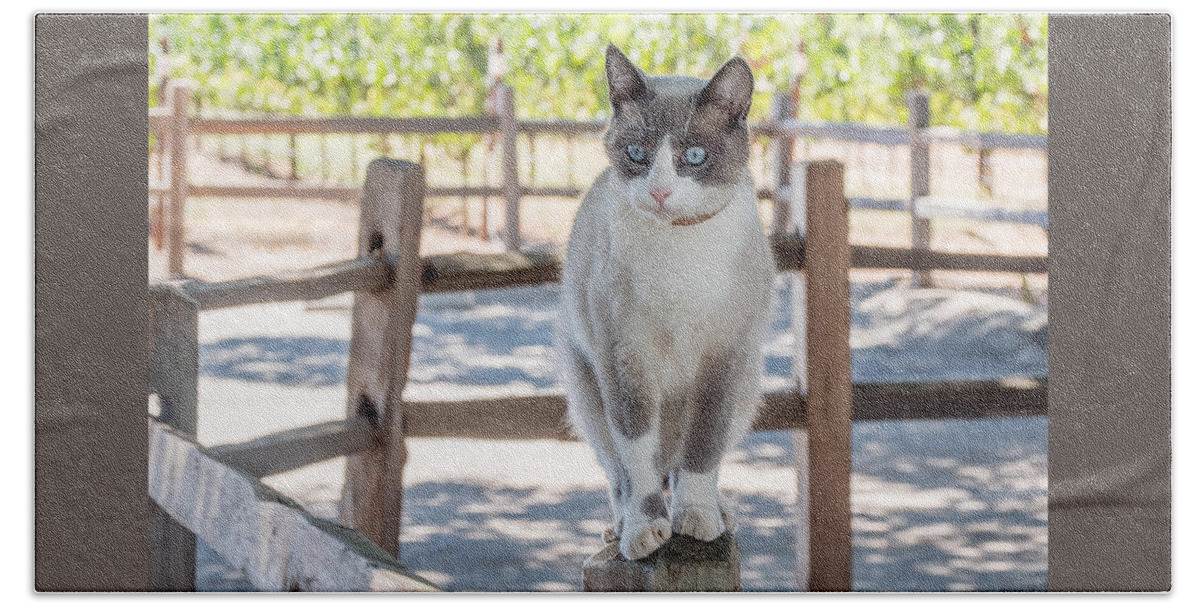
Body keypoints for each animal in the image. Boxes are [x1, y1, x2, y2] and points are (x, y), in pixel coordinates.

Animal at [556, 45, 772, 561]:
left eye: (693, 156)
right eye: (637, 153)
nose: (659, 191)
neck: (679, 250)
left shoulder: (723, 357)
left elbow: (704, 447)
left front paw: (695, 518)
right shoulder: (624, 360)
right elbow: (638, 459)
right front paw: (644, 531)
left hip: (749, 385)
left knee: (683, 458)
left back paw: (720, 514)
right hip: (587, 393)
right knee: (623, 471)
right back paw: (619, 528)